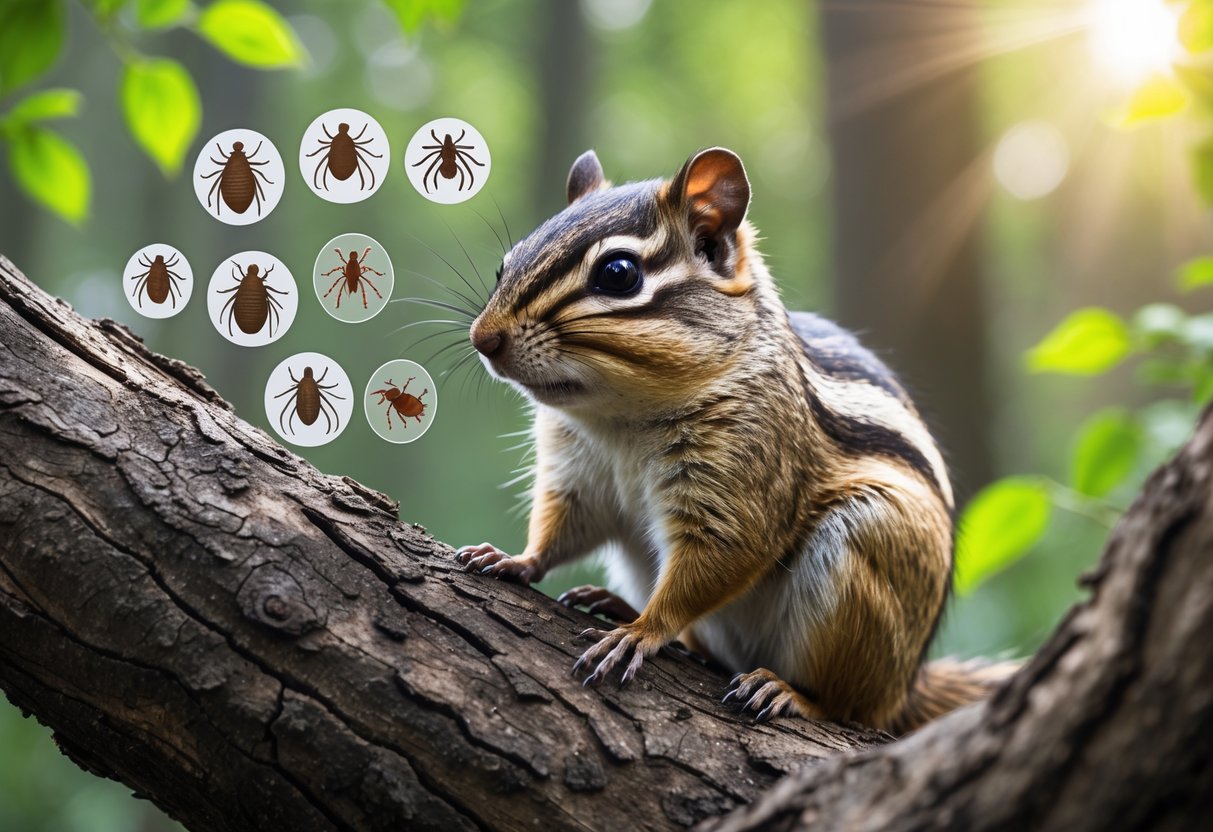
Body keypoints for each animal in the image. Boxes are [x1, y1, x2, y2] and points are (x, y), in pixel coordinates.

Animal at [456, 147, 1013, 734]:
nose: (483, 338)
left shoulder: (746, 472)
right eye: (508, 261)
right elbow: (560, 528)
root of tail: (905, 687)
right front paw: (516, 560)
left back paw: (788, 691)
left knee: (849, 705)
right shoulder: (577, 474)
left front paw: (643, 631)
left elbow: (722, 555)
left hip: (862, 551)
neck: (619, 420)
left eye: (618, 274)